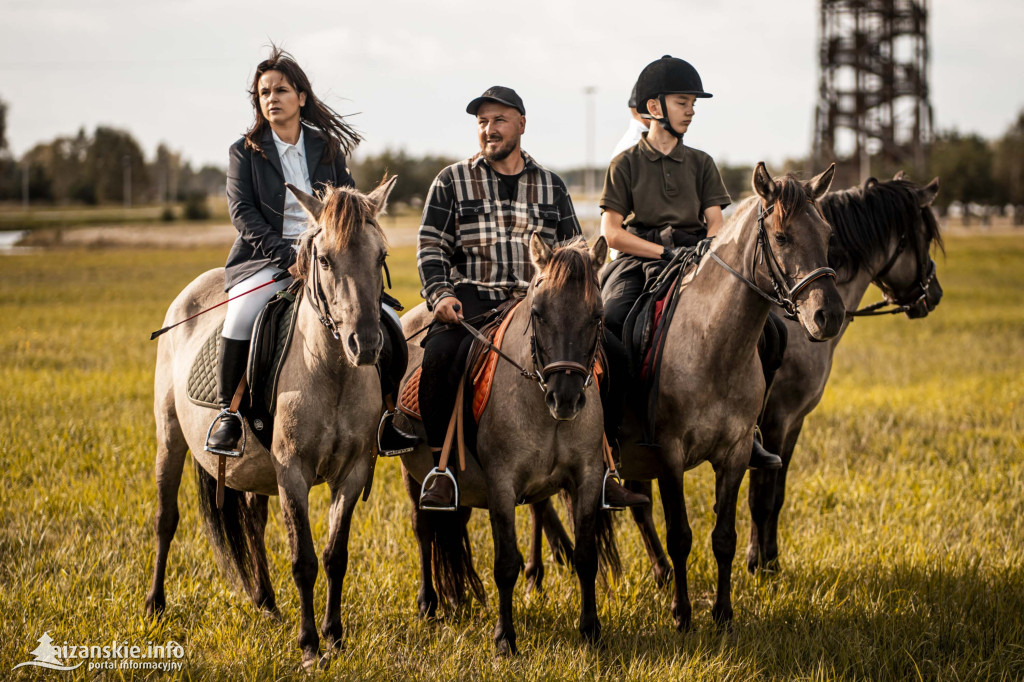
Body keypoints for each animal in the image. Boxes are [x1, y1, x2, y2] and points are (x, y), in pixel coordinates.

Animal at [146, 176, 397, 667]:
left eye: (380, 257)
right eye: (324, 259)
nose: (366, 345)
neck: (331, 369)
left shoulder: (354, 471)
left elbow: (335, 555)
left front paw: (335, 637)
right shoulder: (292, 471)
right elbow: (303, 559)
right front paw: (309, 646)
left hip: (258, 470)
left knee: (253, 522)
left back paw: (266, 602)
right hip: (170, 438)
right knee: (167, 518)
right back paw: (155, 605)